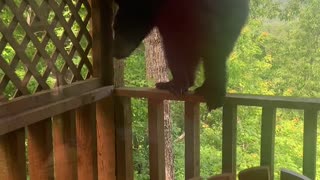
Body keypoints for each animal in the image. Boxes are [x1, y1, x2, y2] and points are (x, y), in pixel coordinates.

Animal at [112, 0, 250, 110]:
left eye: (118, 28)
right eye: (114, 27)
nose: (114, 52)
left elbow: (174, 46)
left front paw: (176, 84)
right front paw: (188, 81)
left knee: (213, 52)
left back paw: (213, 93)